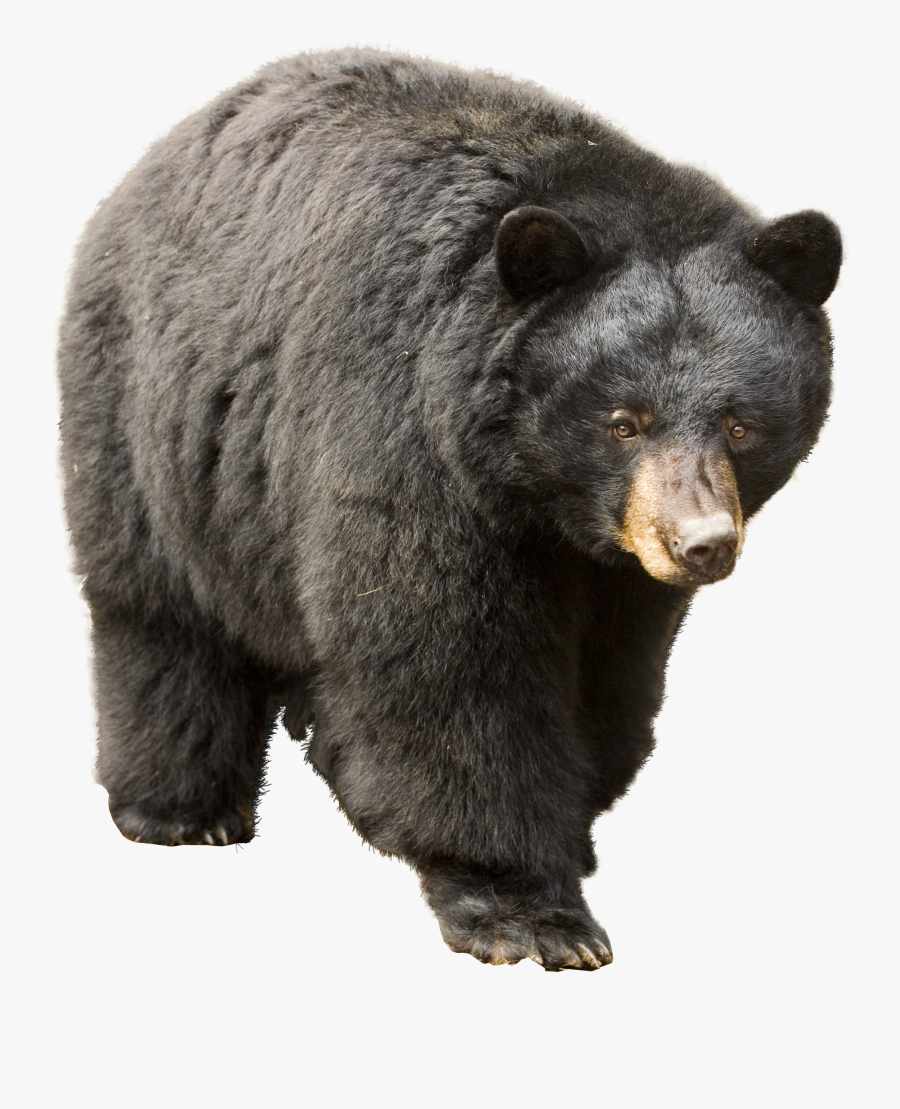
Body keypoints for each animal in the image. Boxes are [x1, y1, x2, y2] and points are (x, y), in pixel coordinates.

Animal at [58, 49, 841, 971]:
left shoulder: (616, 572)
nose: (702, 543)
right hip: (150, 418)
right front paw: (525, 908)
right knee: (161, 613)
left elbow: (609, 674)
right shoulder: (407, 435)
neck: (533, 492)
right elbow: (449, 664)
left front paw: (571, 832)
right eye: (624, 421)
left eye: (741, 422)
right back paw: (183, 809)